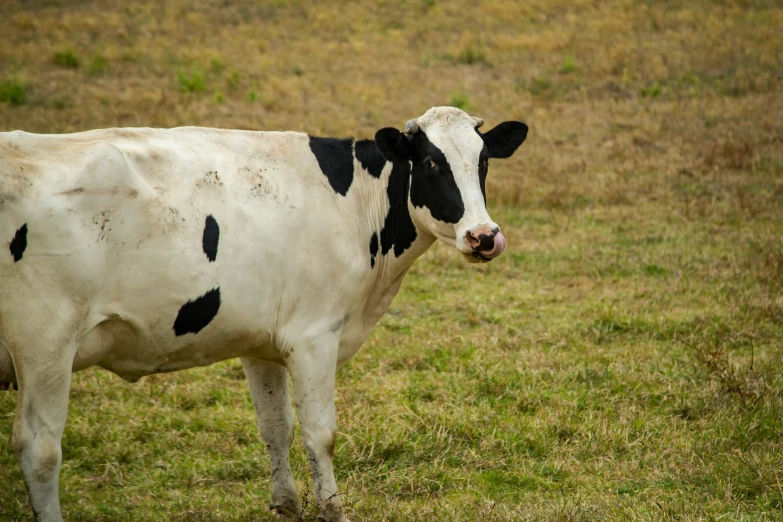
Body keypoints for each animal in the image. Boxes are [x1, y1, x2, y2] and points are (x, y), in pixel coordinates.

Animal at [0, 106, 528, 520]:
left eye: (483, 161)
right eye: (433, 163)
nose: (484, 236)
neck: (354, 206)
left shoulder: (260, 342)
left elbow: (276, 428)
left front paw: (287, 505)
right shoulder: (315, 336)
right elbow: (320, 433)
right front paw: (332, 510)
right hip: (46, 347)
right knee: (40, 451)